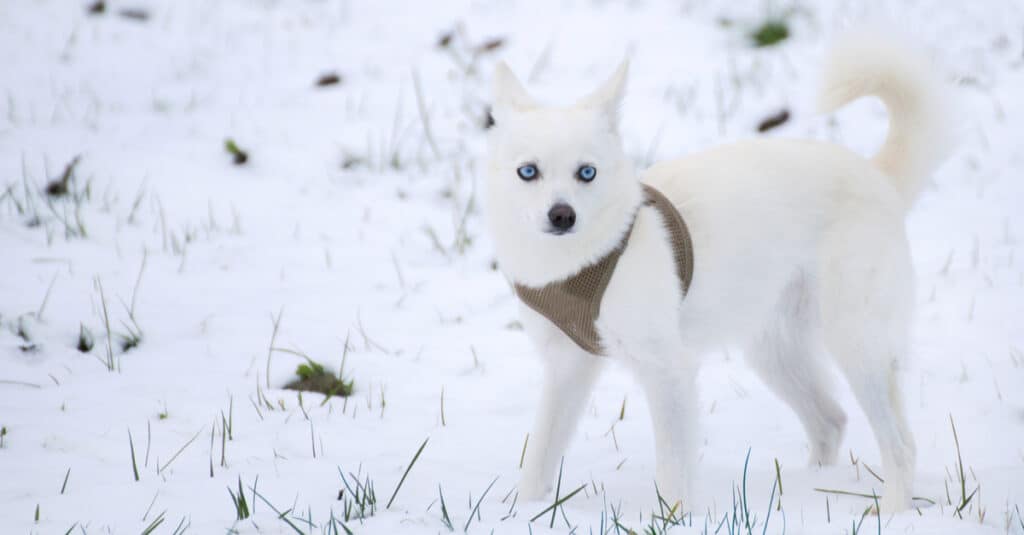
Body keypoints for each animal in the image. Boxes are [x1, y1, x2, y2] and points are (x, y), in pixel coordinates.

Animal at [483, 34, 946, 512]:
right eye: (528, 172)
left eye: (586, 173)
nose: (562, 215)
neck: (583, 260)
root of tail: (876, 174)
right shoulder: (566, 367)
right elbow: (539, 455)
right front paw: (525, 510)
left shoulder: (668, 370)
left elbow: (672, 469)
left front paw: (673, 517)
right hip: (774, 352)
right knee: (830, 421)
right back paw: (808, 485)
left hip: (856, 343)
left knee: (900, 445)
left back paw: (892, 510)